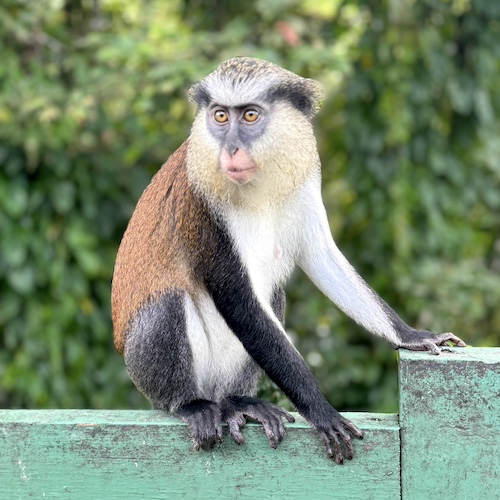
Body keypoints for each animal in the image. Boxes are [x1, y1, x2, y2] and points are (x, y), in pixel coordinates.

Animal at [111, 58, 466, 464]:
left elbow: (321, 257)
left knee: (273, 295)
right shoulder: (202, 208)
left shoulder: (305, 182)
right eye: (220, 116)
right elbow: (237, 298)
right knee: (169, 304)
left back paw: (238, 402)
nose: (230, 148)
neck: (257, 185)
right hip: (146, 367)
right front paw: (322, 411)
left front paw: (412, 336)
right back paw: (190, 405)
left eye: (250, 115)